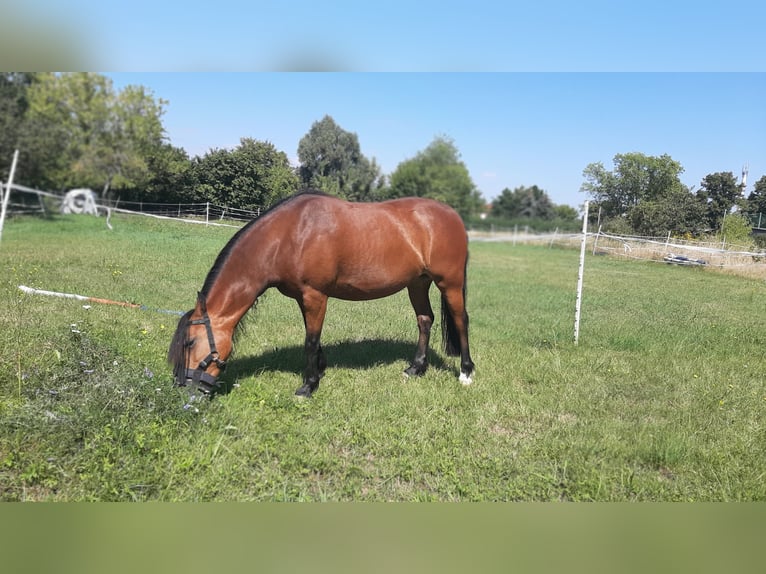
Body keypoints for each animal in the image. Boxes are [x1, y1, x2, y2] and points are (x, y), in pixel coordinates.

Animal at [168, 190, 474, 398]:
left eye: (190, 343)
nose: (182, 390)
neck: (289, 234)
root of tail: (453, 215)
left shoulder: (315, 295)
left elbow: (310, 340)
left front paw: (308, 385)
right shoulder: (302, 297)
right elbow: (312, 337)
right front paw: (320, 369)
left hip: (449, 283)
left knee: (461, 320)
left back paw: (466, 372)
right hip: (417, 283)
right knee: (425, 320)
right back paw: (416, 368)